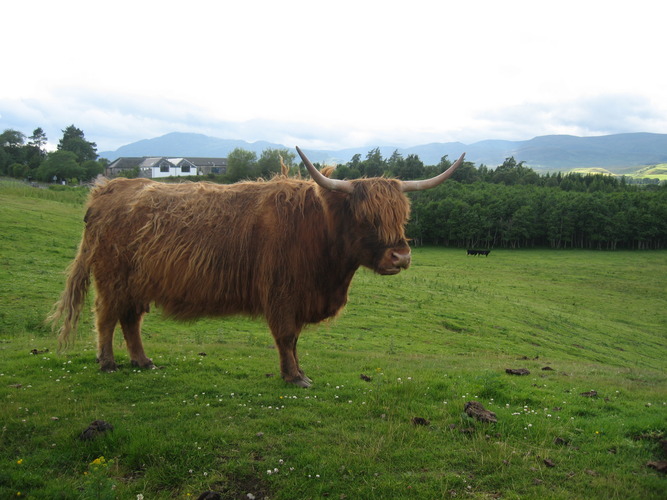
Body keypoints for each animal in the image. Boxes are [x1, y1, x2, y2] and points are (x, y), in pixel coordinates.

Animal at [51, 146, 464, 386]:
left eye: (402, 216)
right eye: (365, 217)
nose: (401, 257)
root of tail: (108, 189)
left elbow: (292, 339)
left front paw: (297, 372)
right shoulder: (282, 294)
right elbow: (286, 336)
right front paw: (294, 377)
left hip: (137, 282)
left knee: (130, 320)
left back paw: (143, 361)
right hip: (112, 279)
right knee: (106, 317)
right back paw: (108, 363)